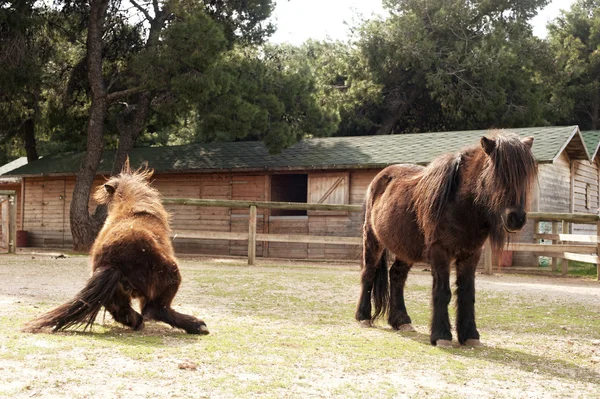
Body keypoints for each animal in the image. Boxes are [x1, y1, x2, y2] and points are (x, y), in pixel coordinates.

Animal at [24, 161, 209, 336]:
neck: (134, 208)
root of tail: (113, 262)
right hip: (170, 275)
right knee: (155, 309)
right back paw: (198, 325)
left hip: (116, 292)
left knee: (122, 310)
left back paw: (137, 322)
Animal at [356, 134, 536, 346]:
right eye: (498, 174)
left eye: (524, 175)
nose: (516, 218)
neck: (461, 205)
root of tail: (379, 179)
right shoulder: (440, 252)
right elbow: (443, 292)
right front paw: (441, 335)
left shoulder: (471, 255)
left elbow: (467, 293)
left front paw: (470, 335)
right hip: (373, 240)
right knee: (369, 273)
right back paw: (363, 317)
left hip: (406, 249)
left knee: (397, 276)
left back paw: (401, 321)